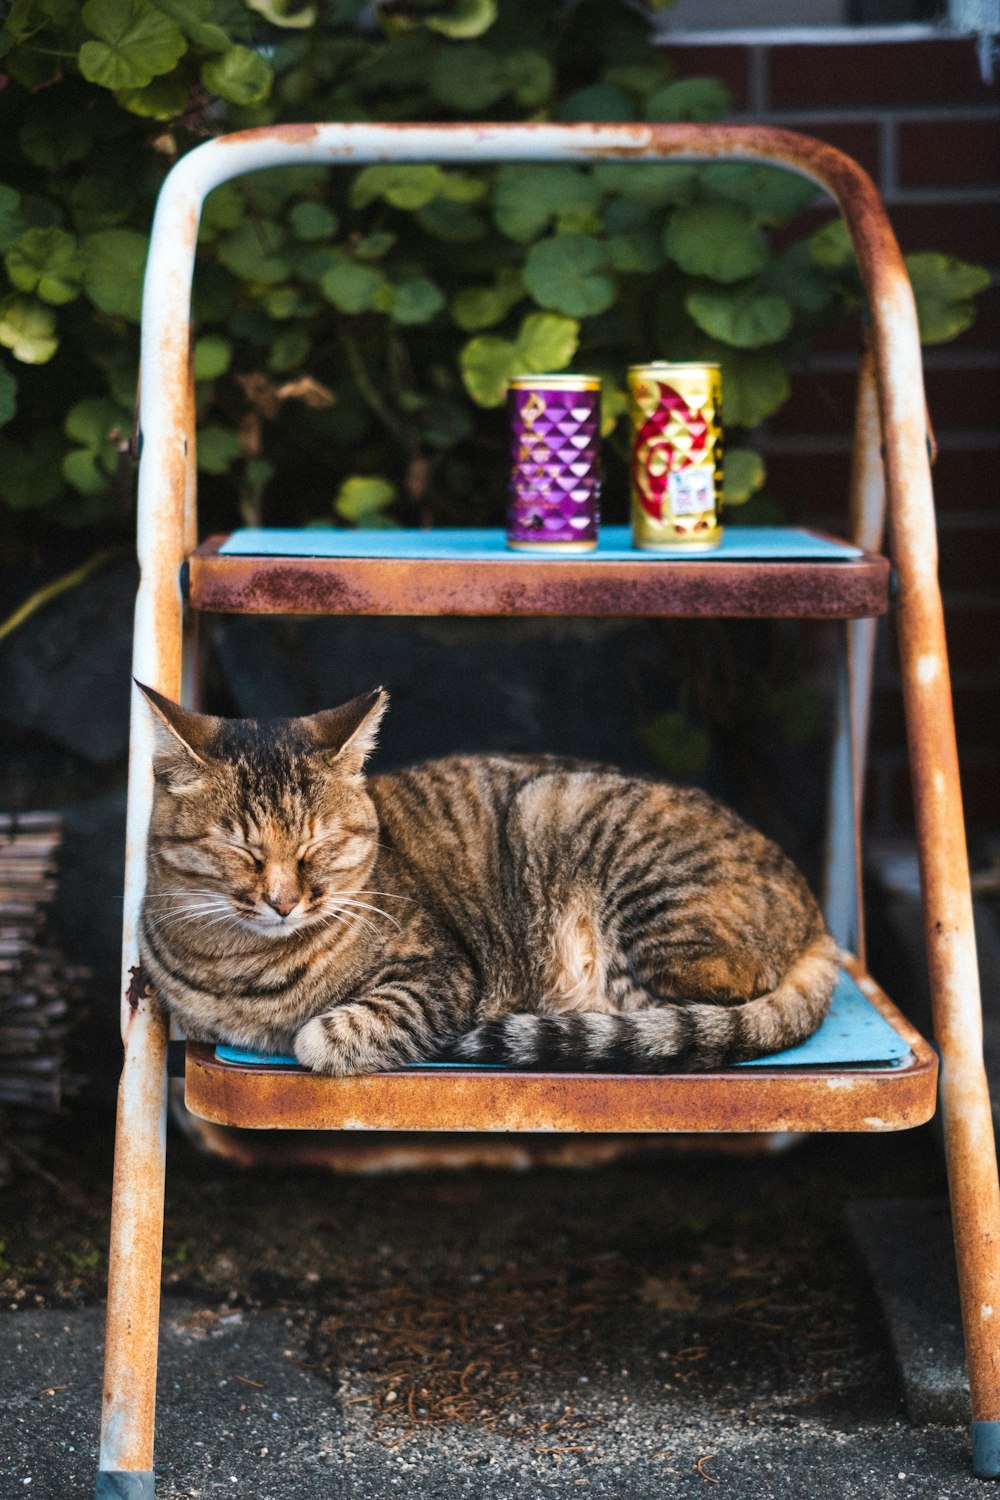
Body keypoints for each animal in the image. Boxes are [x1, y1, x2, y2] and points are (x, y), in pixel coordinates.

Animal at [137, 687, 839, 1074]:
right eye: (240, 846)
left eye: (320, 842)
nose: (284, 902)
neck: (241, 967)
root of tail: (816, 920)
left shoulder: (439, 975)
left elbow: (324, 1033)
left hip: (570, 819)